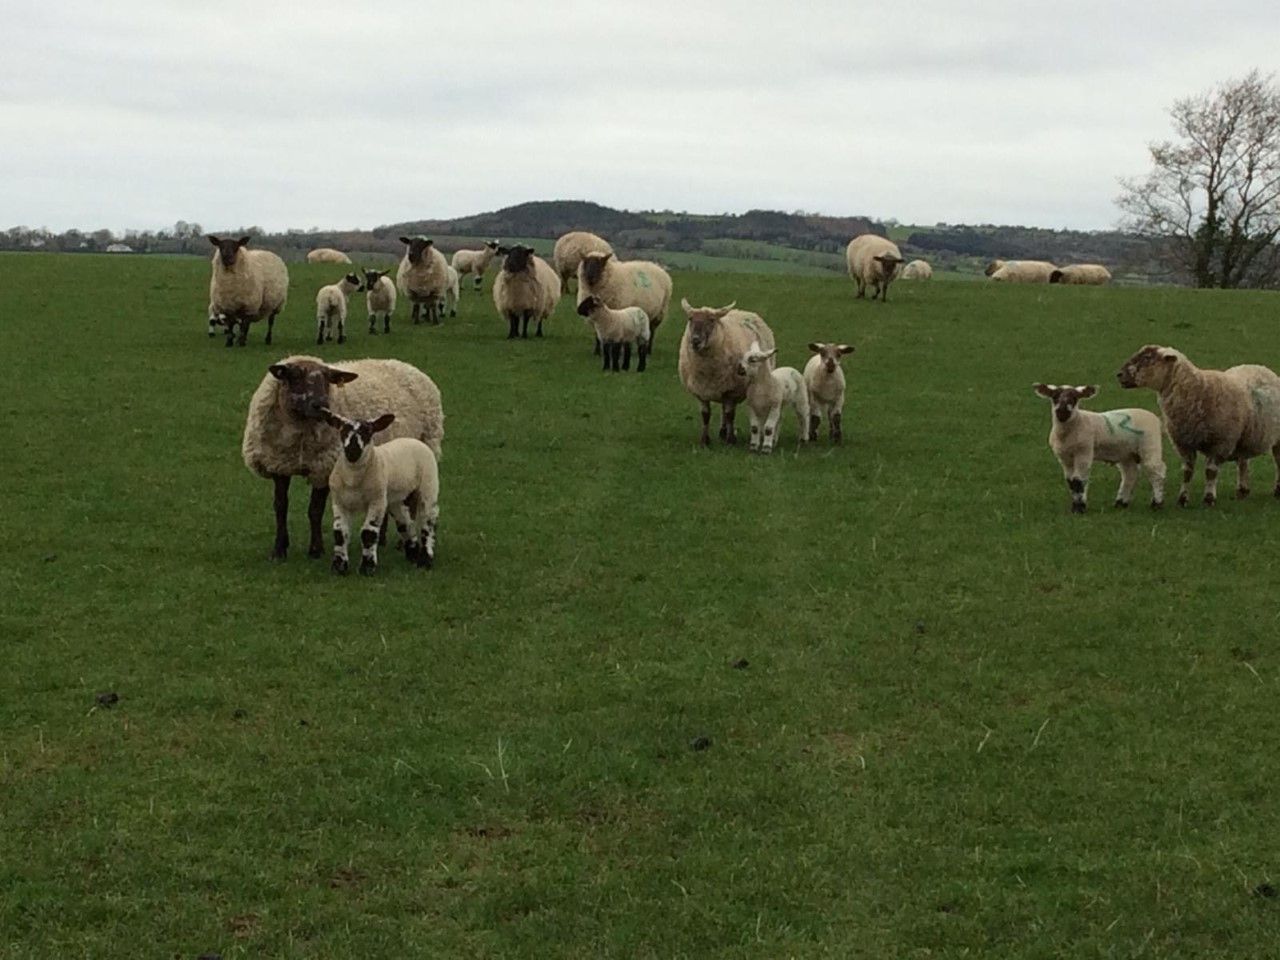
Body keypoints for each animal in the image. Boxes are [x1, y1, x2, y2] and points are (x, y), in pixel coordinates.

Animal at [325, 412, 439, 575]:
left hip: (428, 484)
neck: (353, 480)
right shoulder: (339, 502)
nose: (352, 451)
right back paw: (412, 555)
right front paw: (339, 567)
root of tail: (413, 439)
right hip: (396, 499)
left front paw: (367, 568)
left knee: (428, 521)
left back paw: (425, 560)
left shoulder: (377, 501)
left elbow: (368, 532)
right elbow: (340, 533)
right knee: (405, 523)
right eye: (342, 430)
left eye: (368, 431)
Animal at [678, 297, 775, 446]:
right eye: (690, 318)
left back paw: (726, 433)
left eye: (712, 320)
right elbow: (705, 415)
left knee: (727, 411)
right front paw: (704, 440)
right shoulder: (701, 391)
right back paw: (722, 432)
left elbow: (730, 415)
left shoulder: (731, 390)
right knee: (723, 409)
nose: (695, 341)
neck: (707, 371)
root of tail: (743, 311)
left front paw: (730, 440)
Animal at [1033, 383, 1165, 513]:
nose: (1062, 412)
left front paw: (1079, 508)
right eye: (1054, 397)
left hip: (1150, 444)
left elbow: (1078, 481)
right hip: (1126, 452)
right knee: (1130, 474)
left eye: (1074, 398)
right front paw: (1075, 506)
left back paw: (1156, 504)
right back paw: (1121, 503)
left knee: (1156, 472)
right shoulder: (1064, 457)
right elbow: (1071, 482)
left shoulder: (1084, 451)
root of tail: (1154, 417)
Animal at [1117, 345, 1280, 506]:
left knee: (1277, 462)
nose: (1119, 374)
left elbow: (1210, 471)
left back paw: (1276, 490)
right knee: (1243, 462)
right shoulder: (1183, 443)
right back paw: (1242, 490)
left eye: (1147, 358)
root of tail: (1260, 367)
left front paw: (1209, 498)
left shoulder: (1220, 442)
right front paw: (1182, 499)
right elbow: (1187, 472)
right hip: (1244, 438)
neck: (1197, 390)